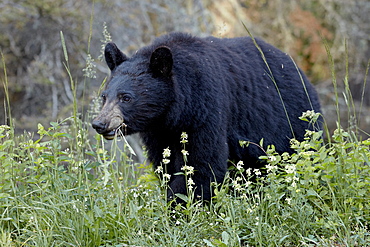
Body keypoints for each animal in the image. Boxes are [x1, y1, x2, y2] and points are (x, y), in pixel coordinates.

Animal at [92, 32, 320, 202]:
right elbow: (165, 165)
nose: (100, 123)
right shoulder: (159, 131)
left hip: (288, 123)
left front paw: (181, 208)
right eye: (104, 97)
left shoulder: (206, 108)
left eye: (126, 97)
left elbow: (202, 164)